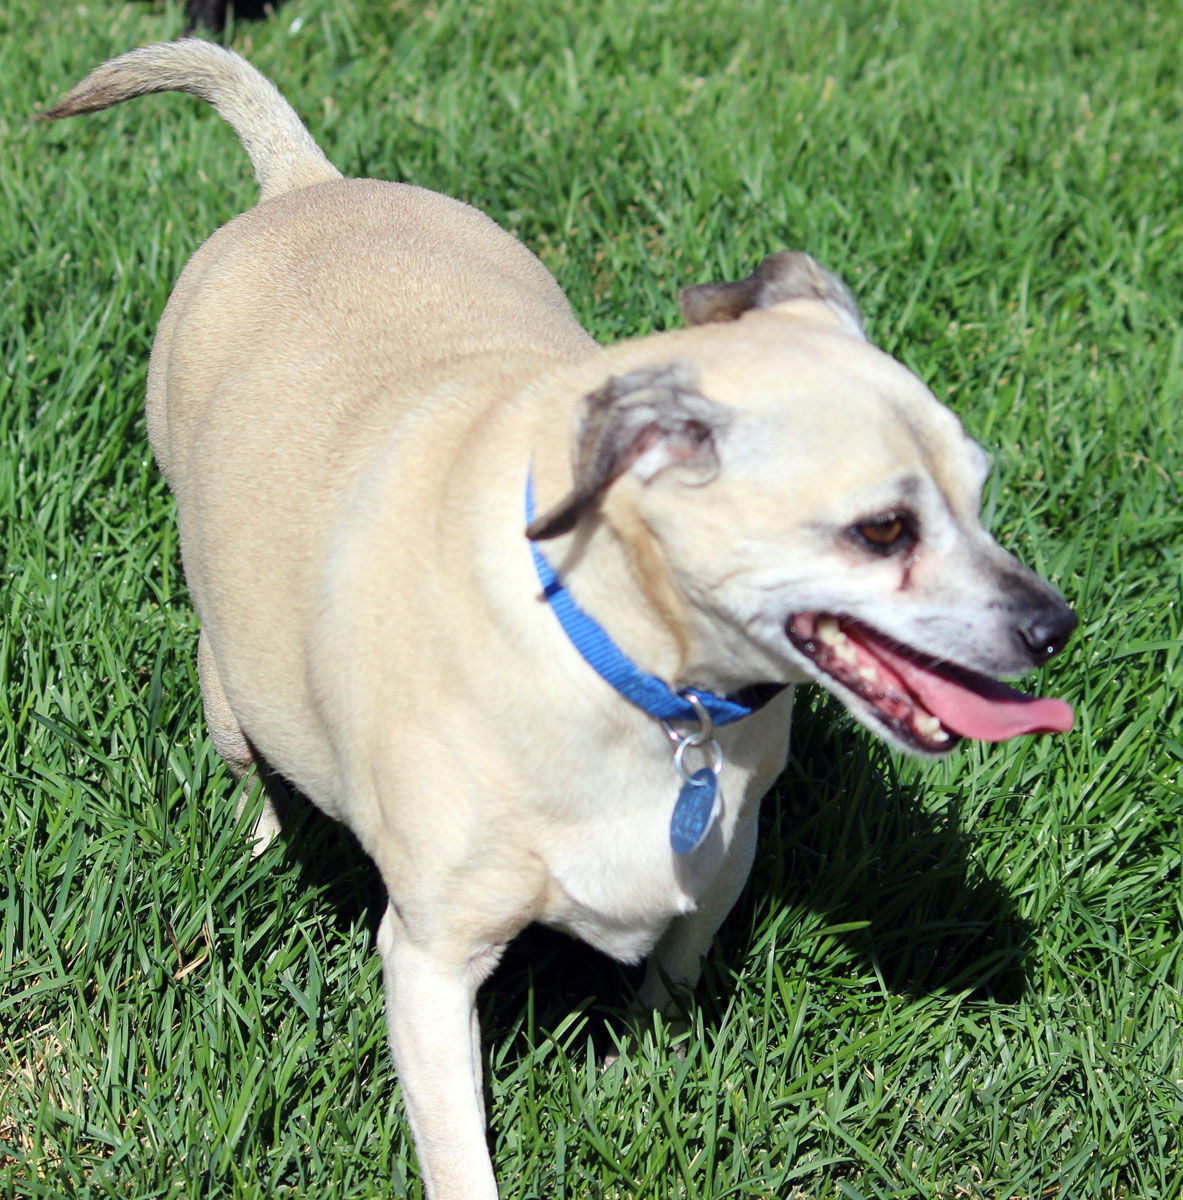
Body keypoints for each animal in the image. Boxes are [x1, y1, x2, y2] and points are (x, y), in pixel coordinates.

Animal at [43, 39, 1079, 1200]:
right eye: (884, 529)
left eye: (980, 494)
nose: (1053, 627)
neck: (637, 675)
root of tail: (306, 182)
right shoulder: (430, 960)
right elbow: (459, 1153)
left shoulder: (722, 855)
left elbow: (672, 971)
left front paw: (647, 1060)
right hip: (230, 680)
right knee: (248, 767)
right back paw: (259, 838)